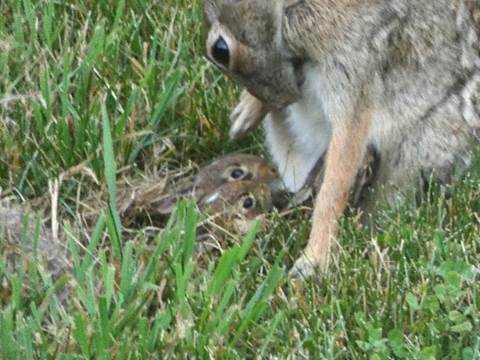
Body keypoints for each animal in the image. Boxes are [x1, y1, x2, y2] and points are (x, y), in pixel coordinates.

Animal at [203, 0, 480, 278]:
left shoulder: (354, 70)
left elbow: (336, 181)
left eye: (220, 51)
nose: (283, 98)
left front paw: (313, 262)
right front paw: (244, 116)